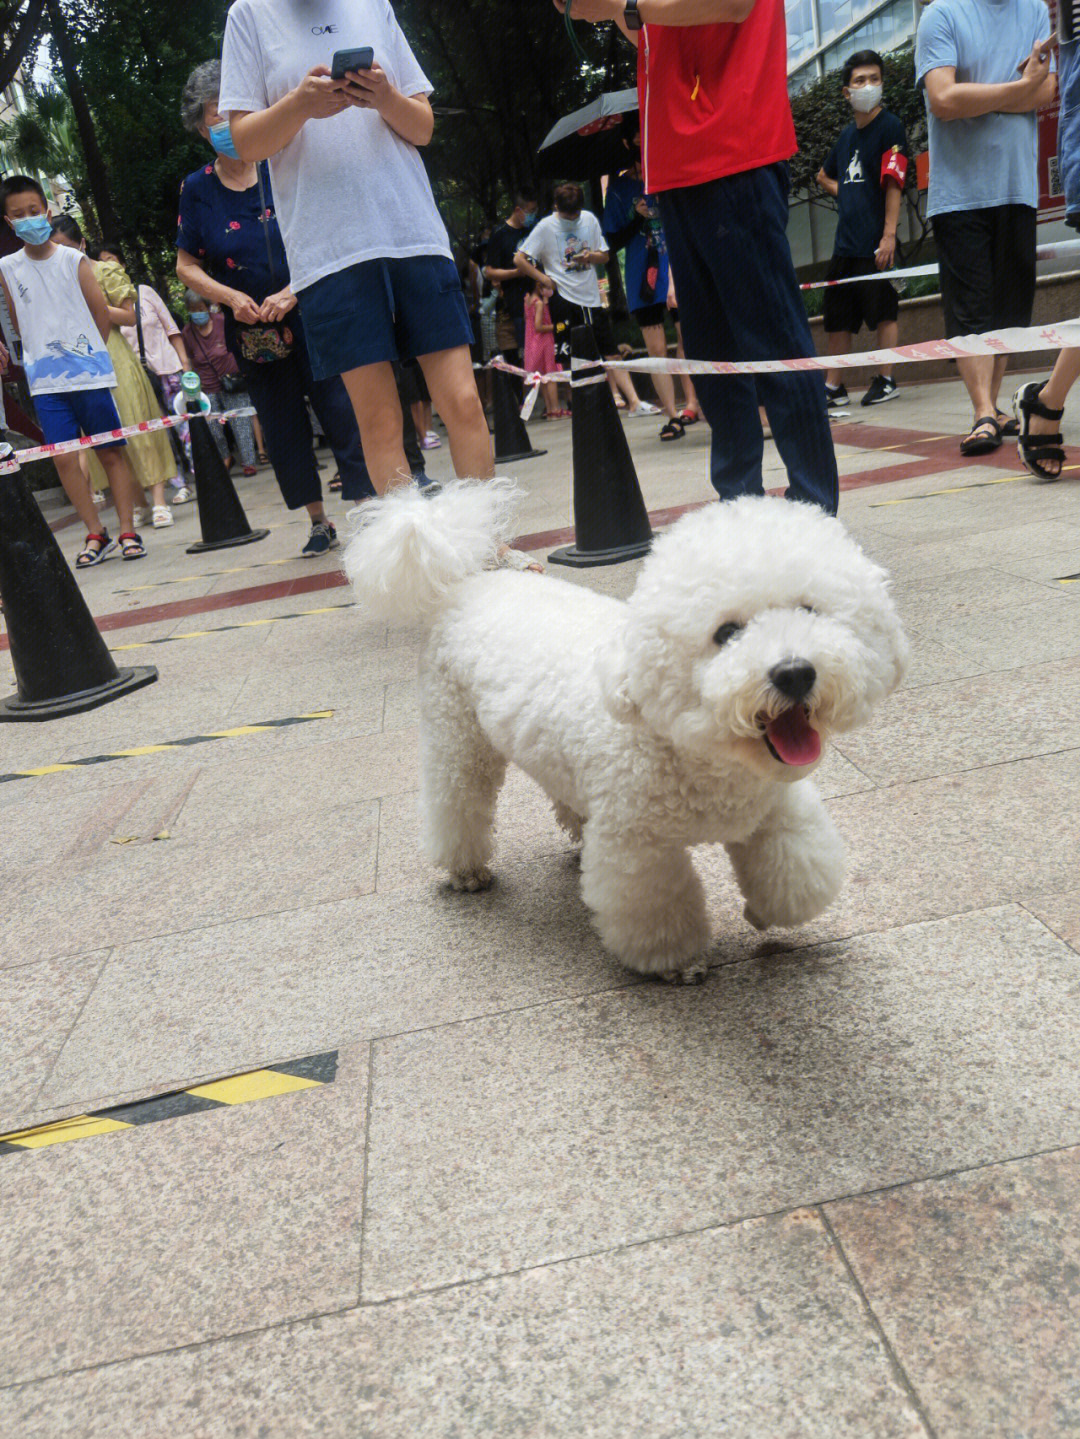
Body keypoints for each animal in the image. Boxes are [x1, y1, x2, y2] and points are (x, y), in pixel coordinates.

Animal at [343, 483, 903, 978]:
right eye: (726, 633)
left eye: (809, 610)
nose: (794, 673)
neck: (695, 754)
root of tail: (468, 579)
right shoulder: (638, 845)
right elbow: (657, 907)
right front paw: (676, 962)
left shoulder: (777, 810)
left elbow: (797, 880)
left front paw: (764, 914)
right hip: (456, 734)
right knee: (456, 799)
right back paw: (465, 869)